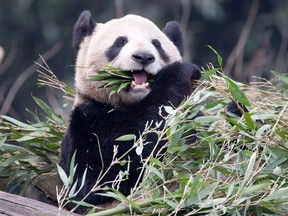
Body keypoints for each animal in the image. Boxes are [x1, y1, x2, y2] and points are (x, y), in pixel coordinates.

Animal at [59, 10, 201, 209]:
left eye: (157, 44)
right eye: (120, 42)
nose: (144, 57)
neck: (131, 104)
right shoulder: (87, 121)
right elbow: (101, 177)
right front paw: (179, 73)